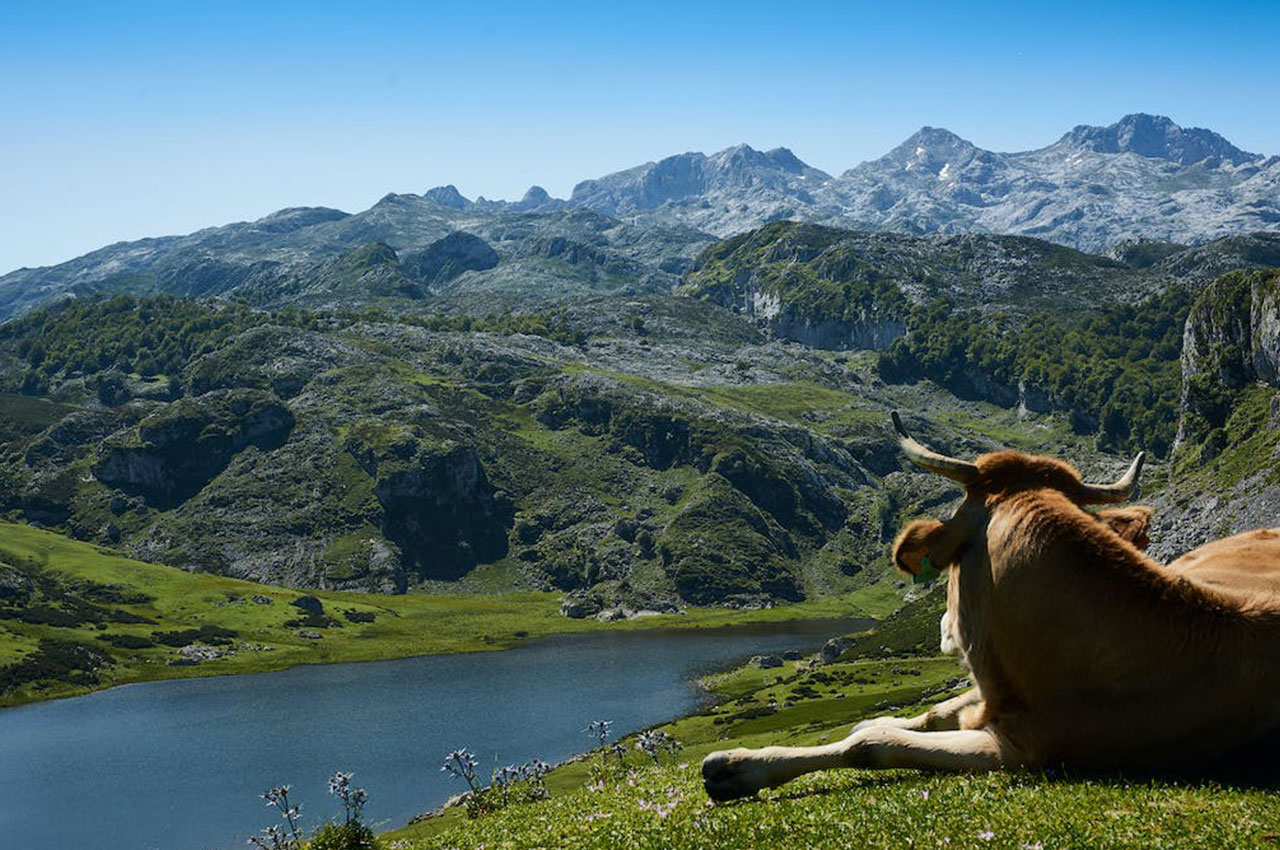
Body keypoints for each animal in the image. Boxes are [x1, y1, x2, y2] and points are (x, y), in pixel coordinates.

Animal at [706, 412, 1280, 803]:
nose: (942, 627)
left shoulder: (1016, 749)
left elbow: (867, 744)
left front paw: (739, 767)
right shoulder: (982, 698)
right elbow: (910, 717)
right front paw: (743, 762)